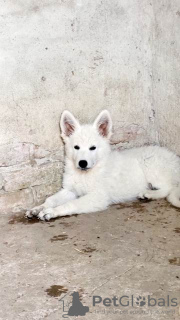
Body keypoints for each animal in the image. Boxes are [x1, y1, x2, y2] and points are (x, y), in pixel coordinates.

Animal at [26, 110, 180, 220]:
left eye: (93, 148)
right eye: (76, 147)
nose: (82, 163)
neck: (86, 173)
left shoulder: (98, 196)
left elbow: (72, 204)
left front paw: (52, 212)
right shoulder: (69, 190)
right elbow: (51, 199)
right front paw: (38, 208)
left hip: (151, 165)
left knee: (169, 188)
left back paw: (149, 194)